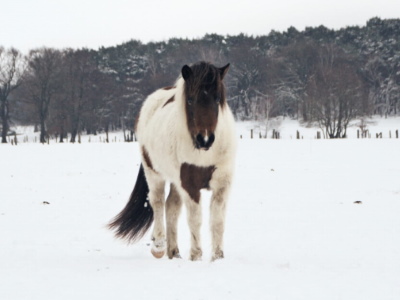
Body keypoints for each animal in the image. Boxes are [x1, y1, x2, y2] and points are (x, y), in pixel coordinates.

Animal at [108, 61, 236, 260]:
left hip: (176, 181)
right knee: (158, 201)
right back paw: (159, 246)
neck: (205, 154)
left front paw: (217, 257)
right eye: (190, 100)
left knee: (171, 206)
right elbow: (195, 219)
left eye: (217, 99)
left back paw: (174, 251)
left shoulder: (222, 184)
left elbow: (217, 221)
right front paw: (196, 256)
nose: (205, 139)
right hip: (154, 173)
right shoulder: (190, 185)